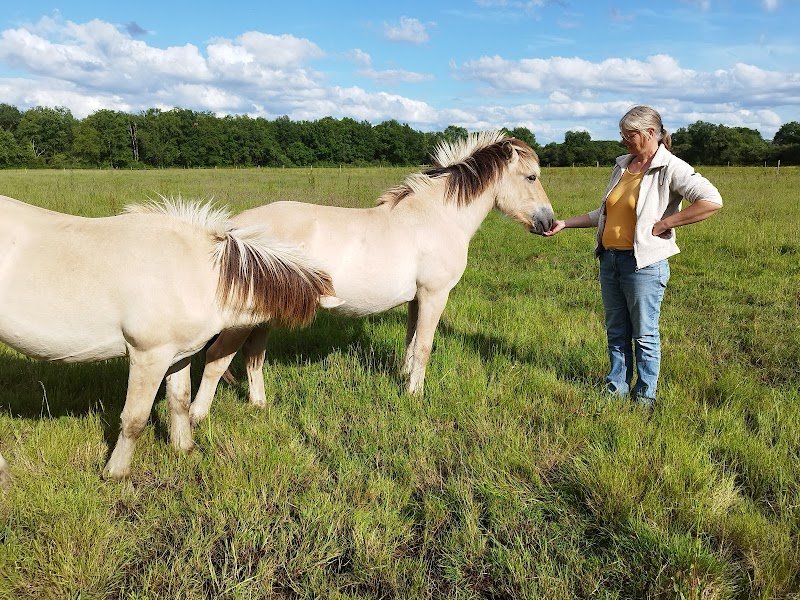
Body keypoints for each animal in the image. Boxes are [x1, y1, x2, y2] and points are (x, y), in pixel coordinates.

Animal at [0, 196, 338, 485]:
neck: (196, 273)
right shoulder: (149, 356)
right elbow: (135, 419)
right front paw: (116, 472)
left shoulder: (179, 356)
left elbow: (181, 400)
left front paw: (184, 449)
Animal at [187, 131, 554, 425]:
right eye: (531, 177)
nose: (549, 222)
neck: (437, 218)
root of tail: (231, 232)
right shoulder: (434, 295)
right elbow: (424, 346)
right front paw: (416, 396)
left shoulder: (417, 299)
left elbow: (410, 342)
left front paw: (405, 380)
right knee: (217, 358)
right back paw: (196, 417)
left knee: (253, 356)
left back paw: (259, 405)